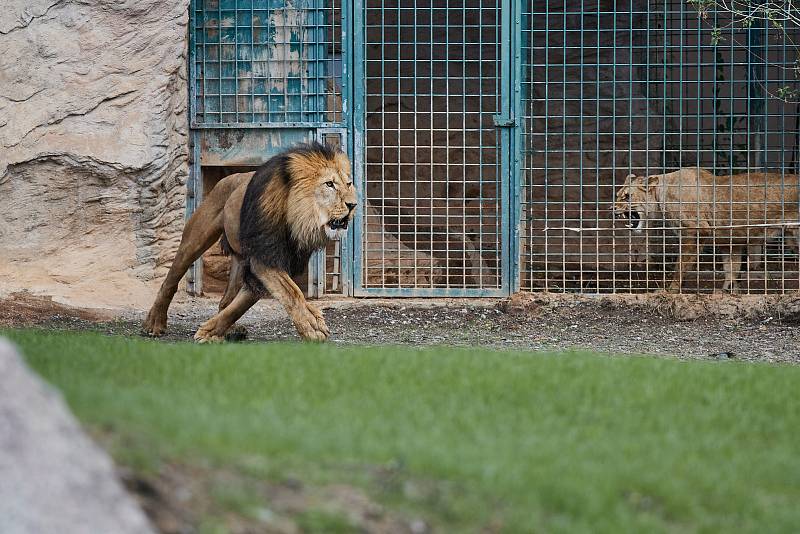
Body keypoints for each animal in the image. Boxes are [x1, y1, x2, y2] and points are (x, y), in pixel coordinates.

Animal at [142, 142, 354, 342]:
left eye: (349, 184)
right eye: (329, 184)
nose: (353, 205)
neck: (297, 221)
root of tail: (230, 177)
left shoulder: (278, 262)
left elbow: (241, 306)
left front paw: (210, 332)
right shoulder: (263, 257)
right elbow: (292, 292)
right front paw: (312, 325)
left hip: (240, 259)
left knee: (226, 300)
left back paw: (231, 330)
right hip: (195, 238)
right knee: (171, 279)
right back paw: (154, 323)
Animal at [616, 169, 796, 294]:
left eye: (627, 196)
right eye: (618, 195)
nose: (612, 208)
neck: (661, 196)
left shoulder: (695, 231)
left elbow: (680, 266)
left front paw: (671, 290)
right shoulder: (730, 241)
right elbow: (731, 268)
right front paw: (728, 292)